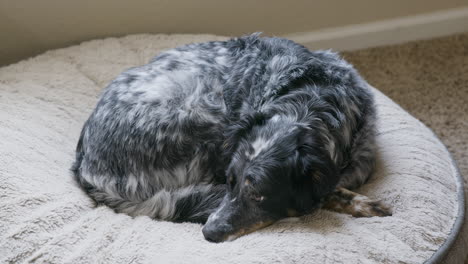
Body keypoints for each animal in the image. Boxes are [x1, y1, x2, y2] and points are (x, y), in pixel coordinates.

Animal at [69, 33, 392, 243]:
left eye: (259, 195)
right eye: (230, 181)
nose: (208, 232)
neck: (310, 99)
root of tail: (84, 166)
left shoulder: (363, 155)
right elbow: (325, 194)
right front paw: (361, 204)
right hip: (204, 112)